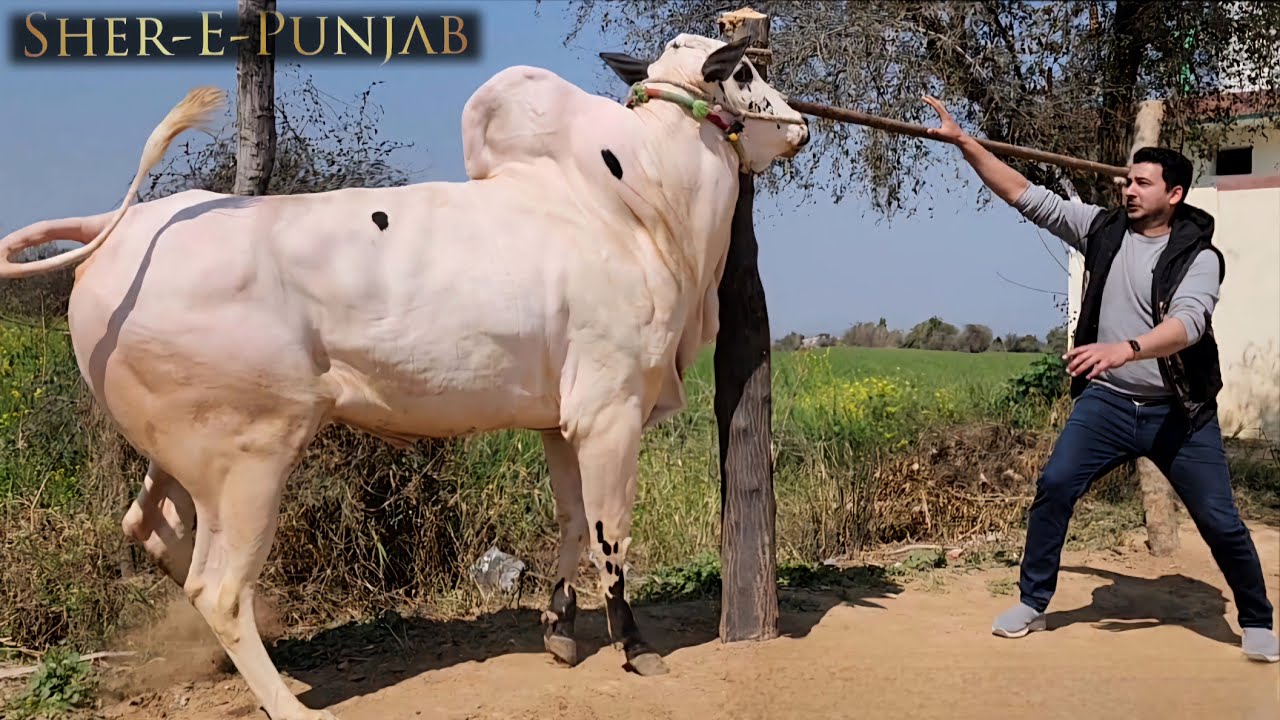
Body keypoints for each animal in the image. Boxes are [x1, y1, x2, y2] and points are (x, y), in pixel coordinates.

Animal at [0, 33, 809, 720]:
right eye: (744, 72)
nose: (801, 124)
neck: (637, 202)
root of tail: (123, 227)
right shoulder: (610, 410)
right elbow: (613, 535)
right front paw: (636, 649)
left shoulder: (560, 421)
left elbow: (573, 524)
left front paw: (558, 630)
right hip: (249, 457)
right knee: (217, 587)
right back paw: (288, 703)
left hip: (180, 454)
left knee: (150, 528)